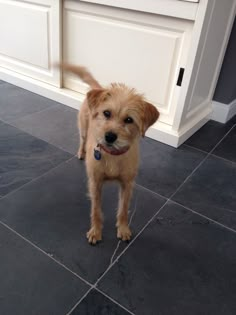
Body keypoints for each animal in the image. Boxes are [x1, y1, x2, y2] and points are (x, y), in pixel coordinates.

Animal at [60, 64, 159, 246]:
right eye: (106, 113)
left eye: (129, 120)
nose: (110, 136)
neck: (113, 155)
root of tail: (98, 88)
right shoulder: (95, 183)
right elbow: (96, 210)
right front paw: (95, 231)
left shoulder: (127, 184)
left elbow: (123, 209)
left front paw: (123, 228)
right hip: (83, 129)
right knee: (82, 140)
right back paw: (81, 152)